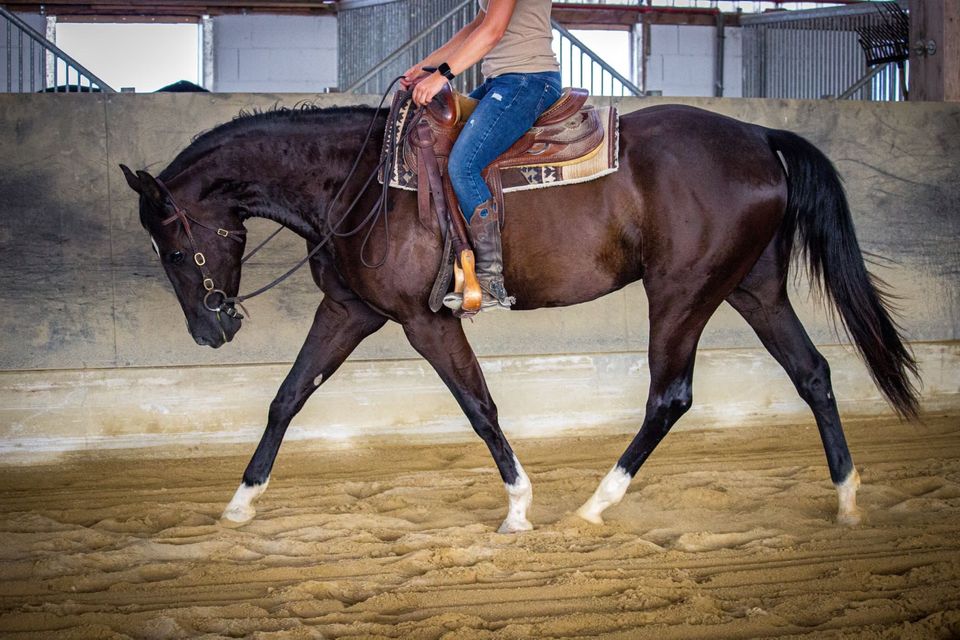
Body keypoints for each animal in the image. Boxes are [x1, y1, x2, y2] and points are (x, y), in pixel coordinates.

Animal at [118, 104, 916, 536]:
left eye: (174, 247)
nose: (210, 332)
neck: (360, 183)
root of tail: (756, 134)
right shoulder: (351, 310)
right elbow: (287, 397)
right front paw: (239, 504)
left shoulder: (424, 321)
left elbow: (479, 406)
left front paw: (518, 508)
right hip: (753, 289)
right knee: (813, 374)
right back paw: (847, 500)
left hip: (682, 293)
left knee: (670, 396)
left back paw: (594, 506)